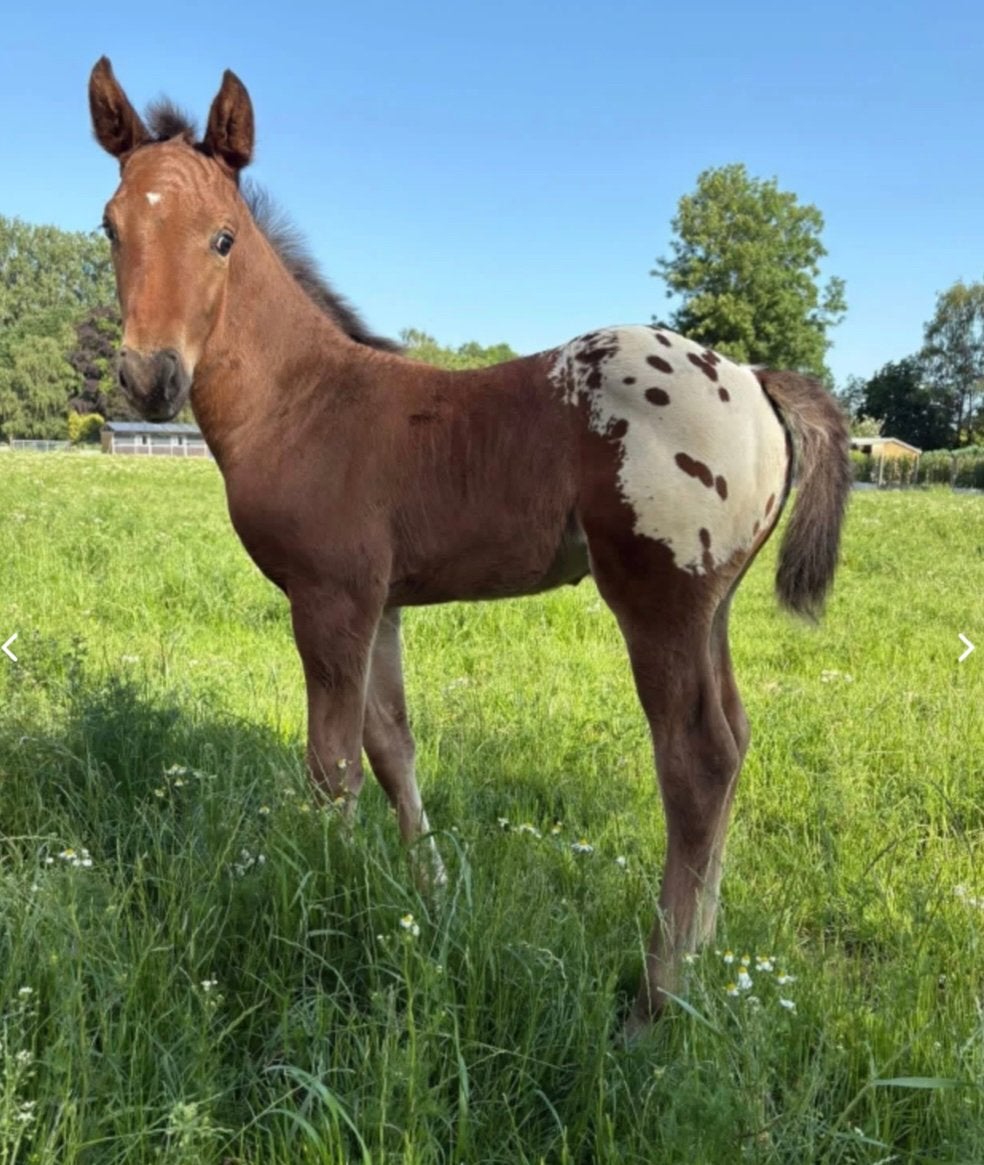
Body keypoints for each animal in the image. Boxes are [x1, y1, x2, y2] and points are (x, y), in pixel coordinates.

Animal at [88, 57, 851, 1035]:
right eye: (110, 227)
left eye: (222, 238)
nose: (150, 378)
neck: (305, 401)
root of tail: (751, 378)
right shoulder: (378, 603)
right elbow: (391, 746)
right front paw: (431, 896)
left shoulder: (328, 598)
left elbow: (331, 765)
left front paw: (324, 917)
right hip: (710, 605)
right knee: (738, 738)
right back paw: (706, 952)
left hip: (658, 603)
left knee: (697, 762)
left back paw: (655, 998)